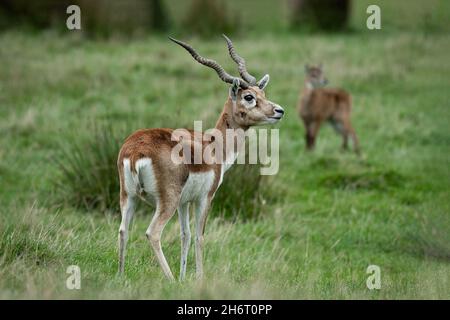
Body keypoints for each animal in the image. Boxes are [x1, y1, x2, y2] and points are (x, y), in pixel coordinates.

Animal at [117, 35, 284, 280]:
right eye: (249, 97)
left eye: (263, 94)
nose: (279, 110)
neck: (214, 145)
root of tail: (136, 150)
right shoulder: (205, 197)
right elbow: (199, 236)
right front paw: (198, 279)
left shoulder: (184, 202)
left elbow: (185, 235)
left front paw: (184, 278)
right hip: (166, 201)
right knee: (152, 233)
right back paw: (169, 279)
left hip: (129, 197)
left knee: (123, 230)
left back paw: (120, 276)